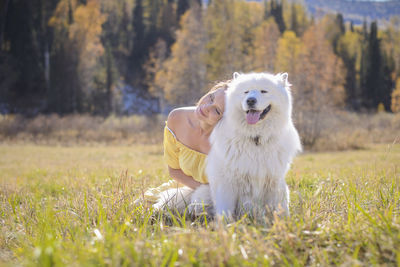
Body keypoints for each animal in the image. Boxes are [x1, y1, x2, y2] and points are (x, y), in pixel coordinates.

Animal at [155, 72, 302, 221]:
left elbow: (280, 207)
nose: (250, 101)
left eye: (264, 91)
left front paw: (283, 221)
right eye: (246, 92)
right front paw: (226, 225)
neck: (255, 138)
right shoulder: (227, 182)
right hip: (202, 196)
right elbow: (225, 209)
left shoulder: (274, 179)